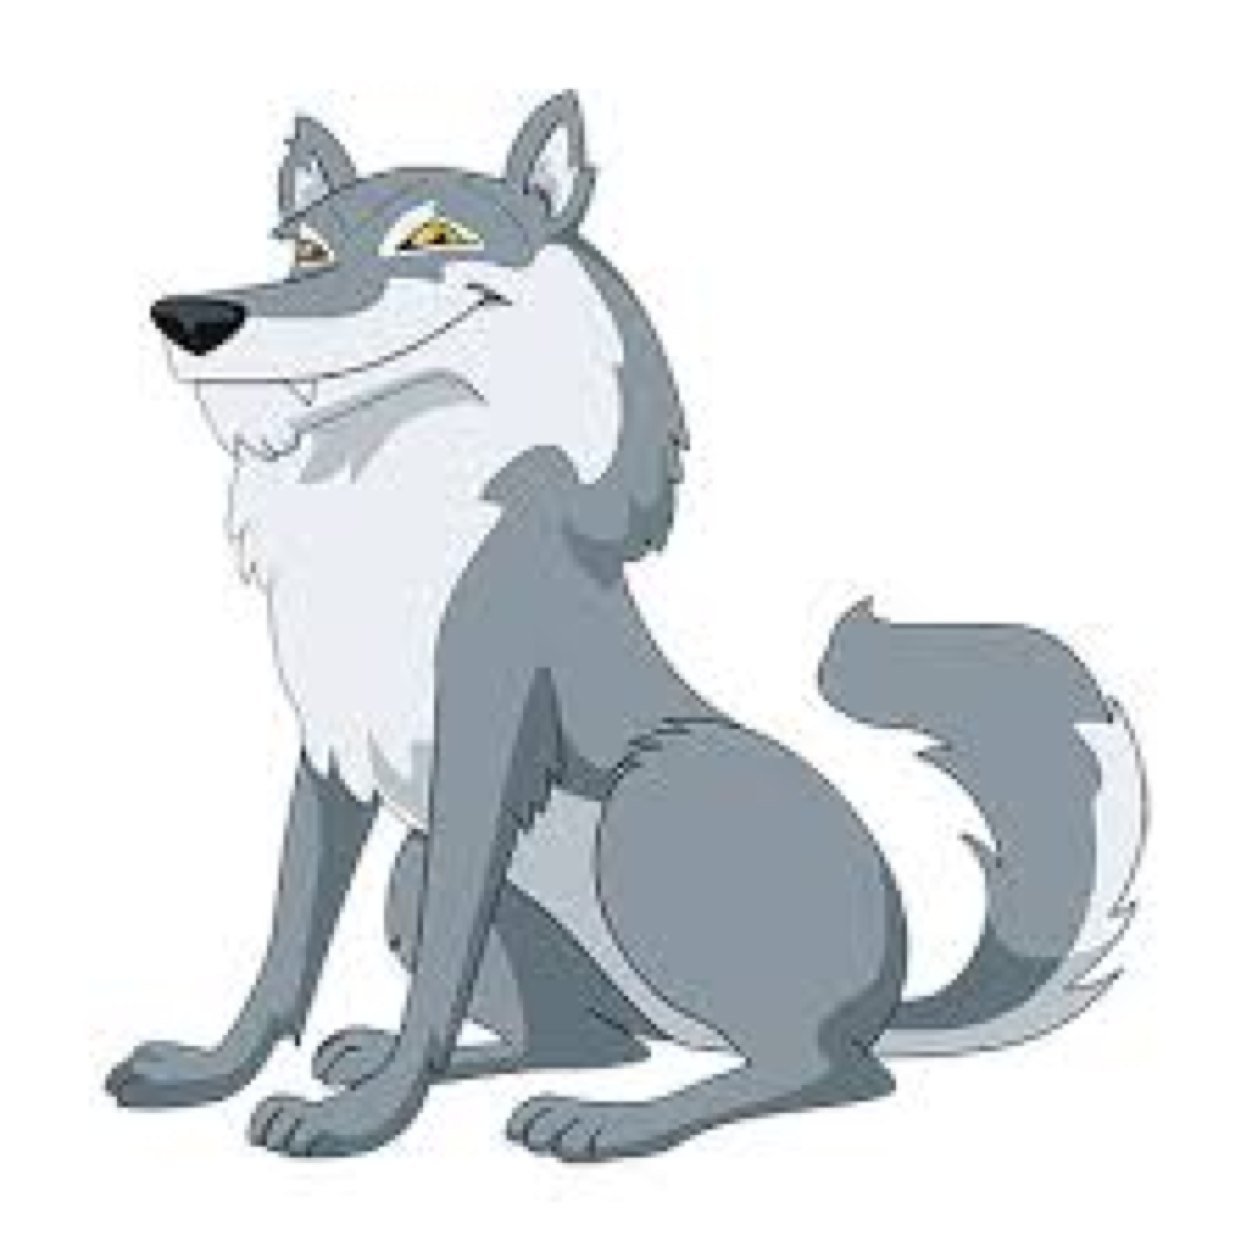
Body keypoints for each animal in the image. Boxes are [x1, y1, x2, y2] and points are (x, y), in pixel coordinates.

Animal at [106, 93, 1146, 1161]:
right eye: (307, 252)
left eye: (434, 238)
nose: (191, 319)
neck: (393, 495)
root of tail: (894, 995)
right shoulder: (328, 761)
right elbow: (288, 942)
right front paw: (217, 1071)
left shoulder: (483, 750)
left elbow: (435, 974)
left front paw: (368, 1121)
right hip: (418, 865)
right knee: (596, 1042)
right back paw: (440, 1063)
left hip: (659, 800)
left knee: (827, 1071)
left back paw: (609, 1124)